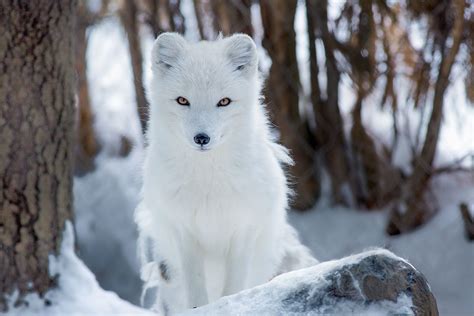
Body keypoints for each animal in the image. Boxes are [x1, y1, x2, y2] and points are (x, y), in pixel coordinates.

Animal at [135, 32, 316, 314]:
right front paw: (199, 309)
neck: (208, 182)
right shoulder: (184, 231)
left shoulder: (243, 229)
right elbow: (196, 287)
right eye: (183, 100)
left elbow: (233, 286)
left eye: (224, 102)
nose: (201, 138)